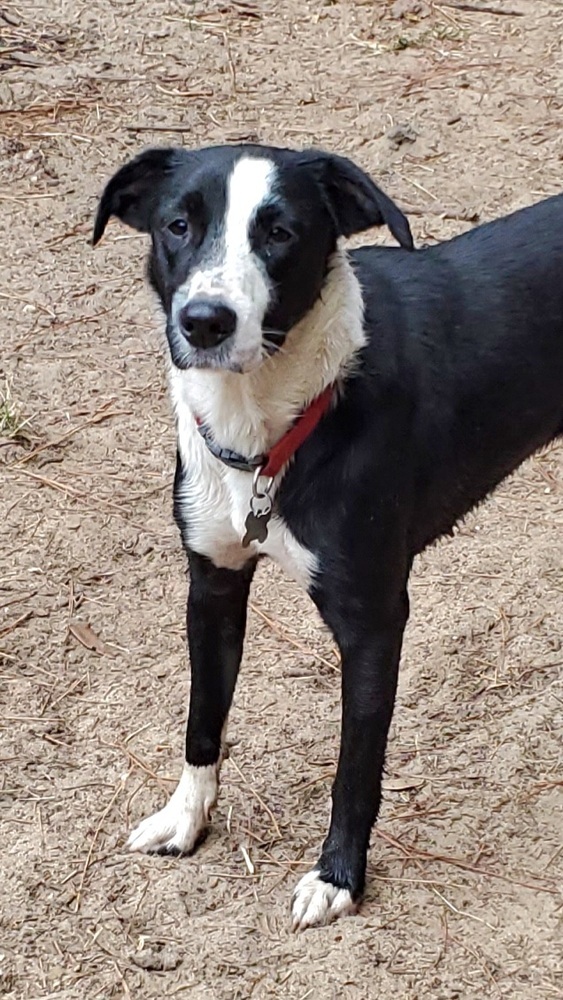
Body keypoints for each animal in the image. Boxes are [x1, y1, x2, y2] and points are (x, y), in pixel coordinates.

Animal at [92, 146, 563, 928]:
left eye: (280, 232)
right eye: (177, 225)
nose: (205, 321)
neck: (268, 431)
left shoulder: (372, 619)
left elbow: (355, 766)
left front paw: (338, 875)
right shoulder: (211, 585)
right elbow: (201, 719)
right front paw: (186, 817)